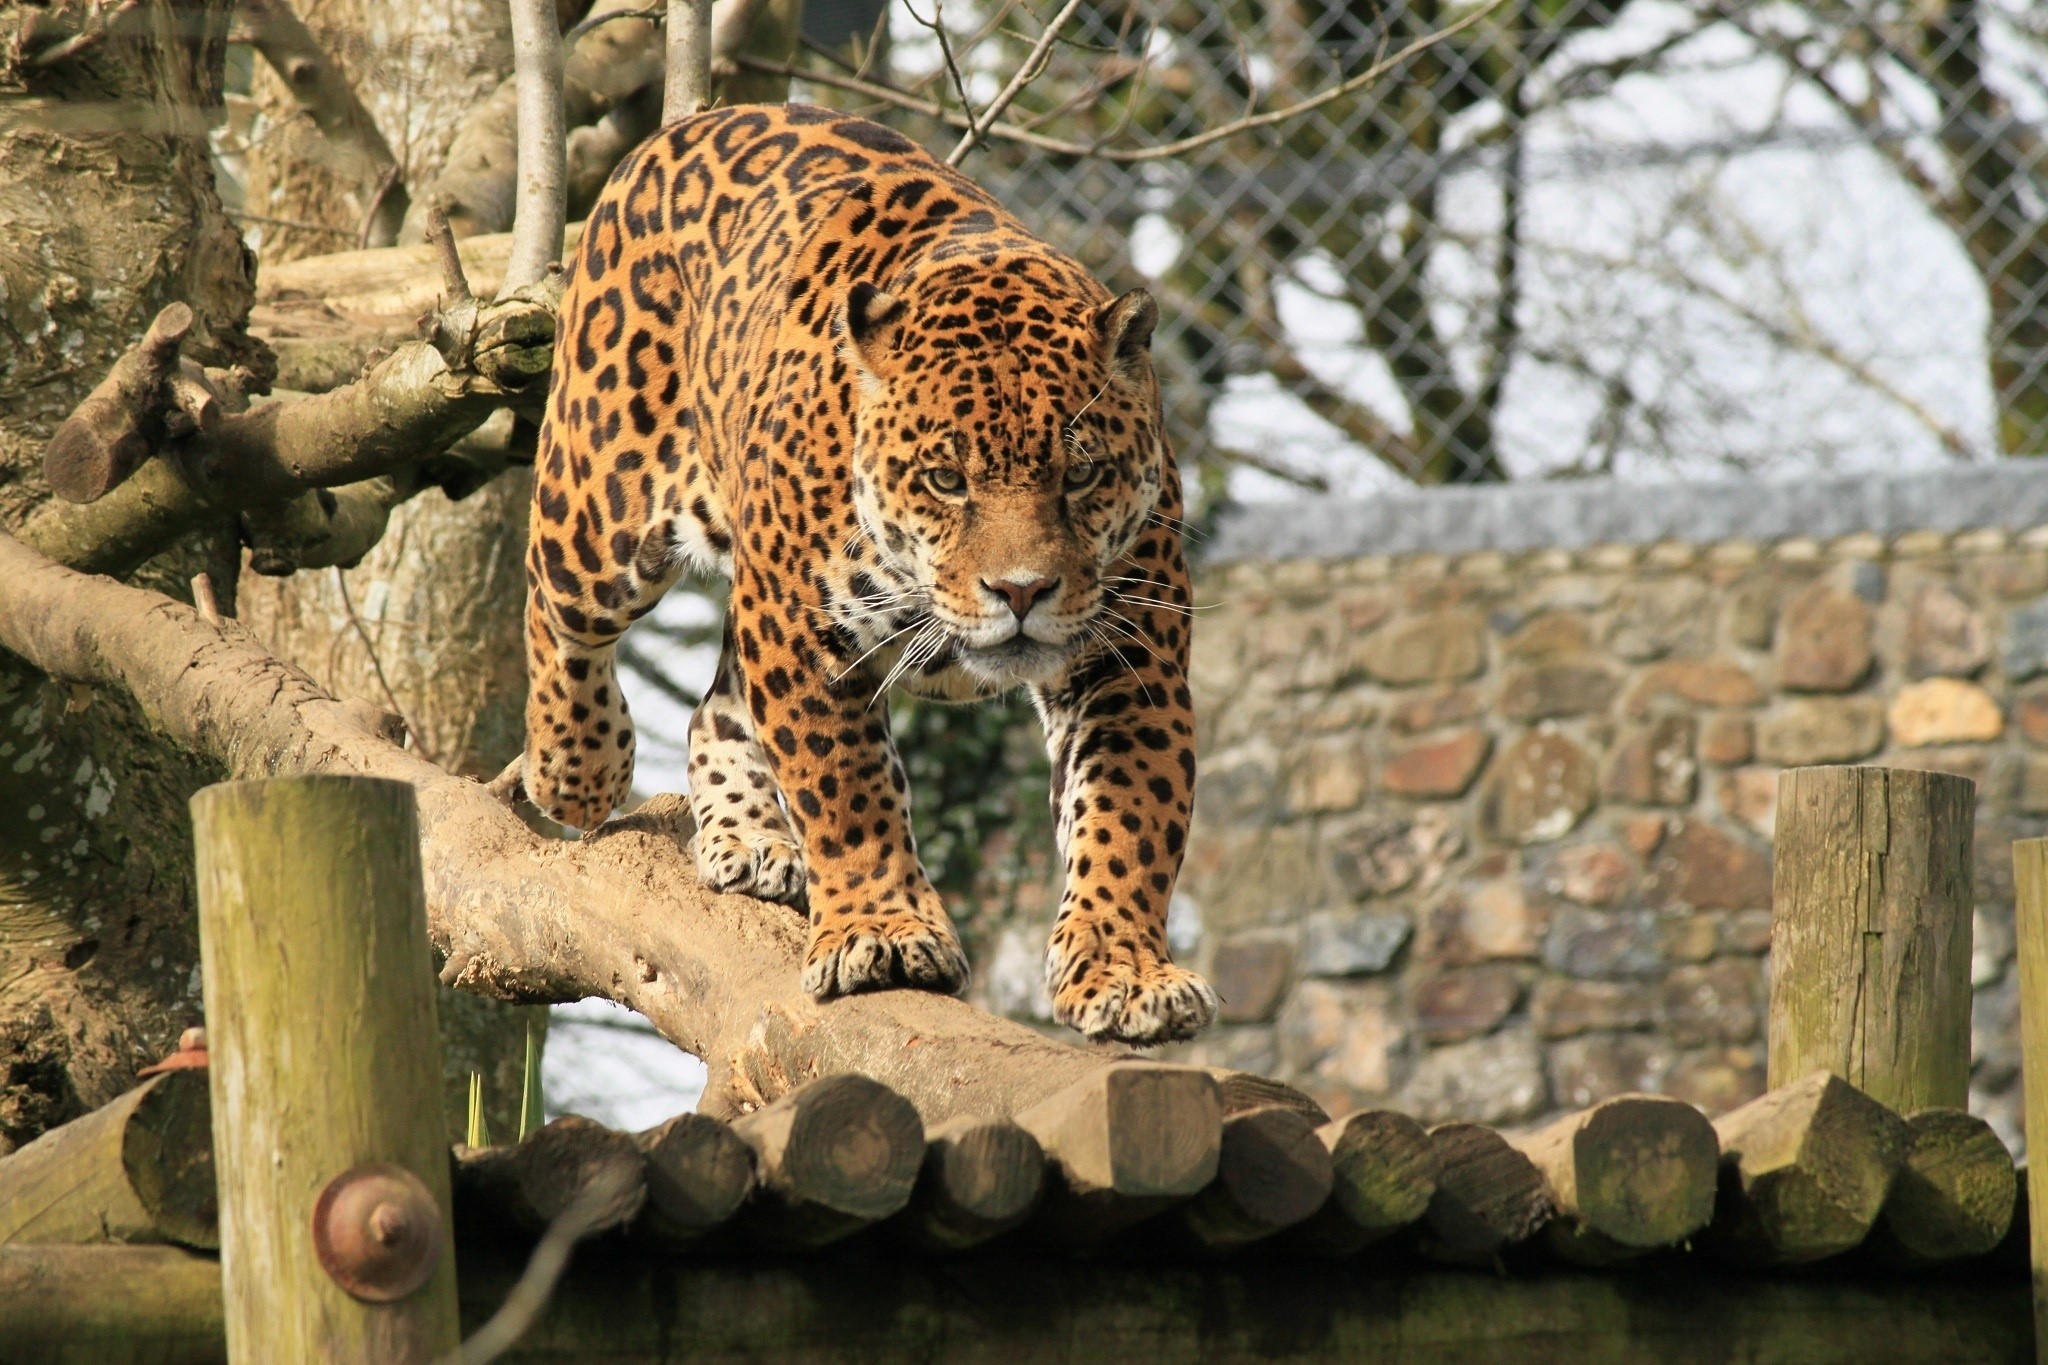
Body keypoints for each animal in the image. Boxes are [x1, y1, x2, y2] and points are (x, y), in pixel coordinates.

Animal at [518, 103, 1215, 1045]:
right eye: (946, 478)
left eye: (1081, 474)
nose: (1022, 591)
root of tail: (687, 125)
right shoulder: (802, 629)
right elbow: (844, 784)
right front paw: (881, 933)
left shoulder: (1129, 658)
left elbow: (1131, 816)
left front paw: (1125, 971)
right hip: (600, 503)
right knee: (554, 610)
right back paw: (576, 766)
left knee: (715, 707)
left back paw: (751, 839)